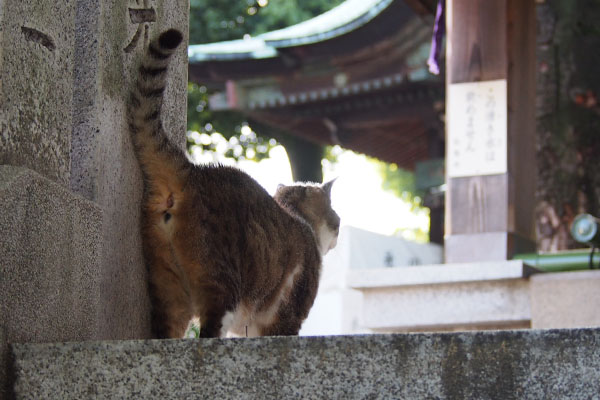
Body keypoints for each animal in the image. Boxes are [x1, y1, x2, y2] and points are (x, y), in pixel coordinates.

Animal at [127, 29, 342, 340]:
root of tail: (194, 172)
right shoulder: (287, 317)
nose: (338, 234)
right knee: (209, 329)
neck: (300, 221)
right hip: (222, 283)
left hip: (167, 283)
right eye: (336, 219)